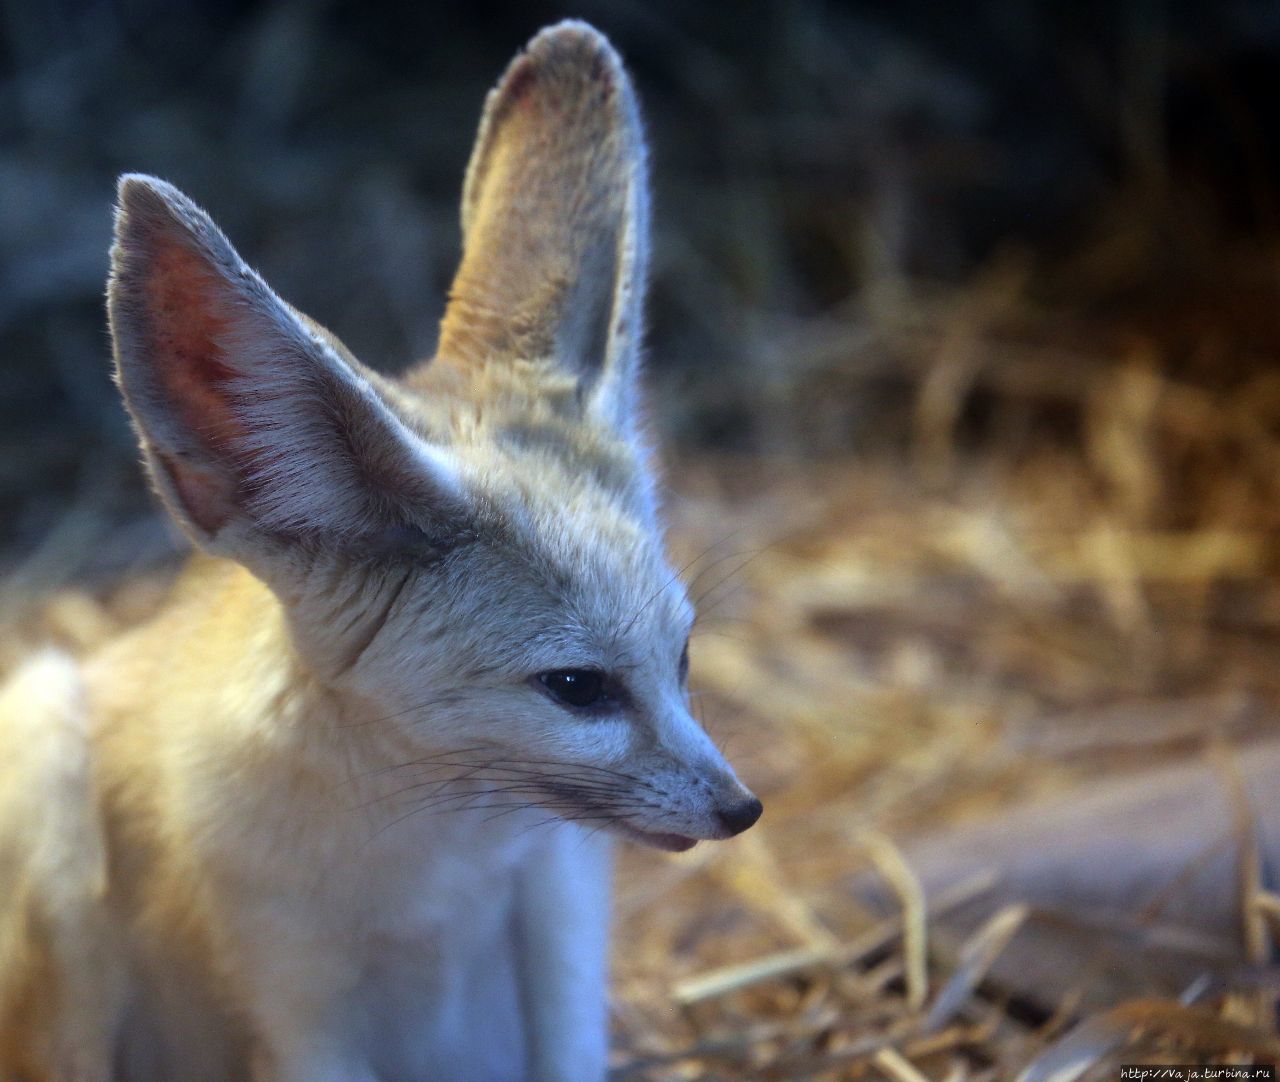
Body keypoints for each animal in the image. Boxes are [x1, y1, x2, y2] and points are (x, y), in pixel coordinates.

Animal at [0, 18, 757, 1080]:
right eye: (576, 688)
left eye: (684, 657)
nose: (741, 809)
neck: (431, 850)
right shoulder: (294, 991)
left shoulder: (556, 908)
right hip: (42, 754)